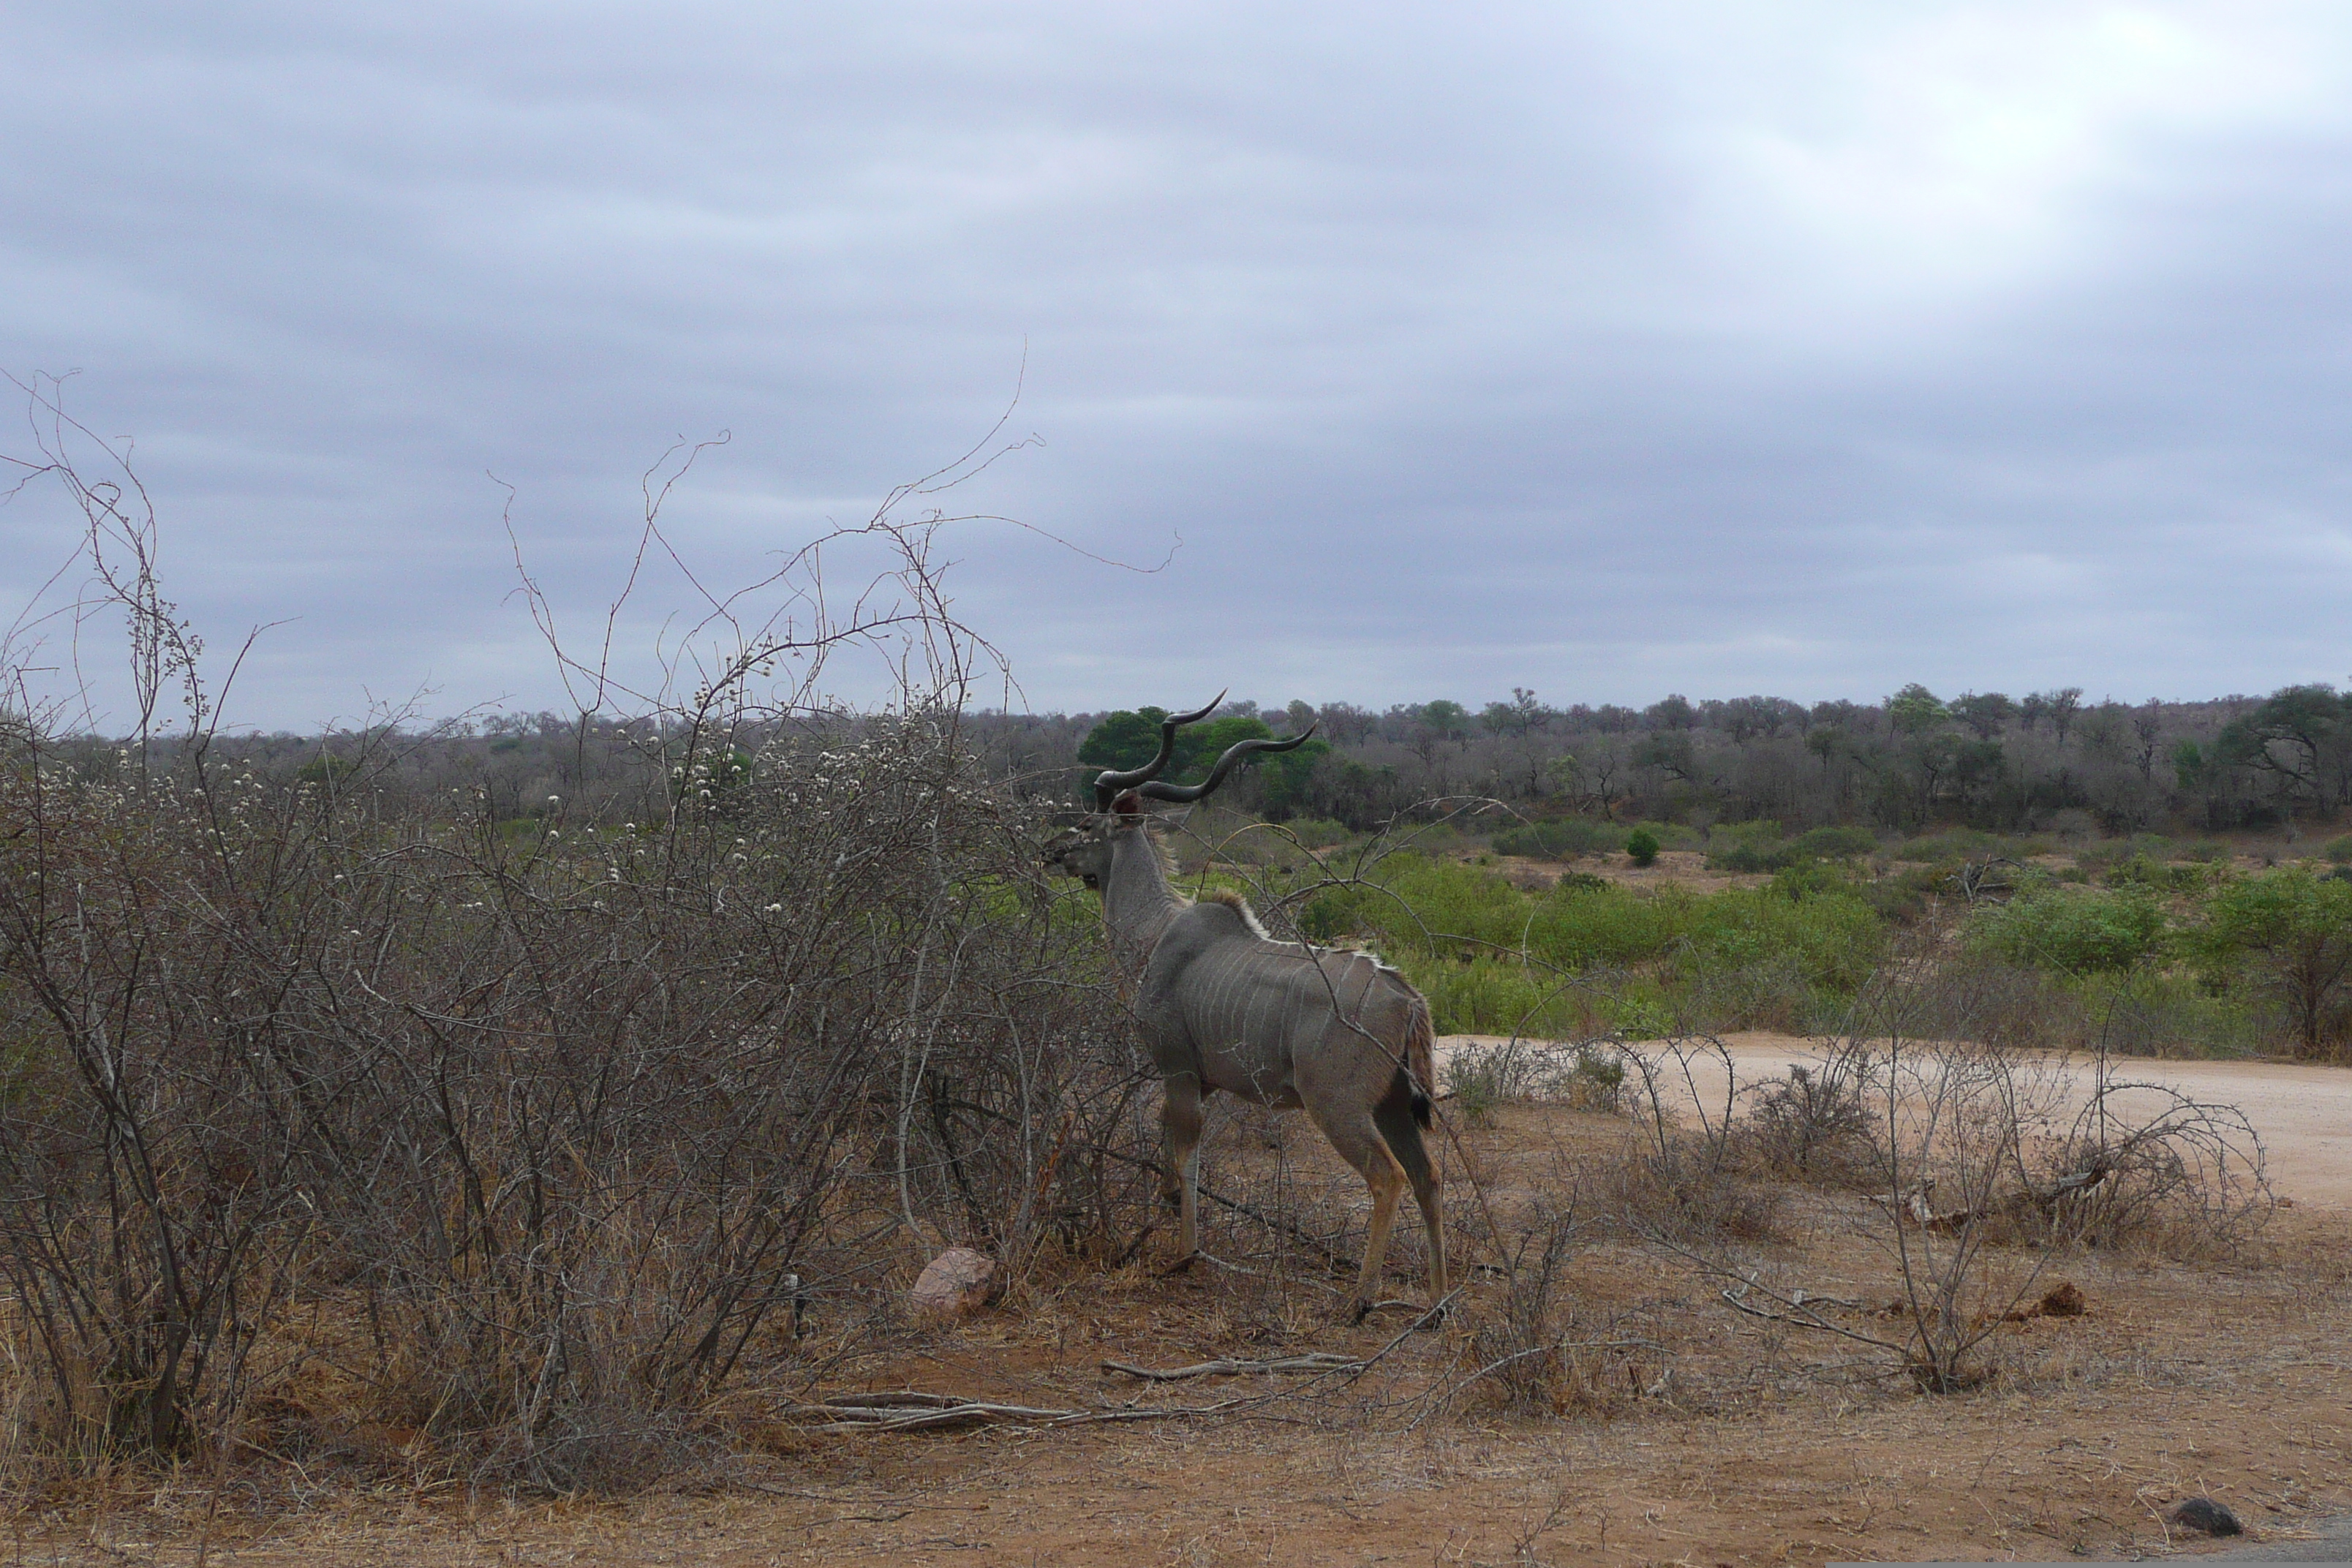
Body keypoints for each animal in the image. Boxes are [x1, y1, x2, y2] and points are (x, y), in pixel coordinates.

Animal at [1053, 700, 1449, 1316]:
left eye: (1089, 827)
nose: (1052, 853)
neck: (1156, 935)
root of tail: (1405, 997)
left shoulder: (1178, 1069)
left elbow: (1187, 1151)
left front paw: (1185, 1253)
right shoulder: (1202, 1081)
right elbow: (1171, 1144)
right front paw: (1169, 1209)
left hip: (1336, 1104)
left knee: (1388, 1177)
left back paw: (1361, 1299)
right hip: (1391, 1106)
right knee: (1428, 1176)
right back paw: (1435, 1301)